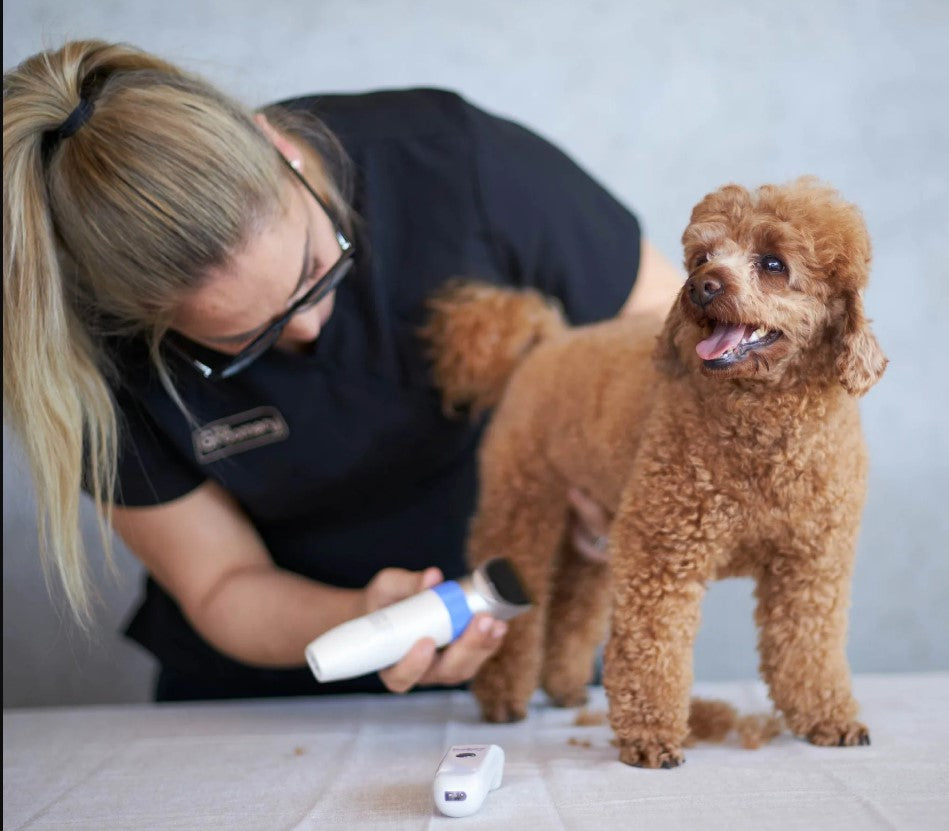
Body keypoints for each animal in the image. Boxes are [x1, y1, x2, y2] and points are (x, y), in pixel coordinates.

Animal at [418, 179, 884, 772]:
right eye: (702, 257)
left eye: (773, 263)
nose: (702, 287)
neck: (762, 432)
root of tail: (544, 341)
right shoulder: (661, 547)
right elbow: (651, 646)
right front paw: (650, 737)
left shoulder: (811, 562)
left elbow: (810, 648)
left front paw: (828, 719)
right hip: (522, 506)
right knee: (522, 606)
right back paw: (502, 699)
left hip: (593, 526)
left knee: (575, 603)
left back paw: (565, 687)